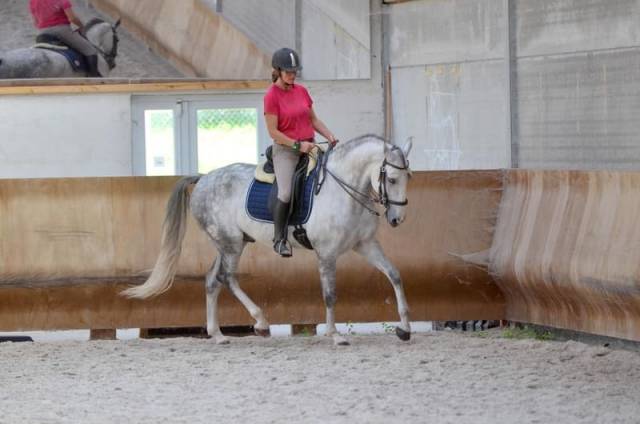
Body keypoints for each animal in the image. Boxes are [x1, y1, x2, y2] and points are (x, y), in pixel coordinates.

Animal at [122, 134, 413, 346]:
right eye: (391, 178)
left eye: (408, 177)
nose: (397, 219)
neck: (342, 190)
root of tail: (204, 178)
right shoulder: (327, 253)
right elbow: (330, 294)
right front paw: (335, 335)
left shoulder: (365, 244)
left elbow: (395, 275)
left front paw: (404, 328)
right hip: (230, 244)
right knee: (227, 278)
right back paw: (260, 323)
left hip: (229, 243)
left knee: (212, 280)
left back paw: (218, 334)